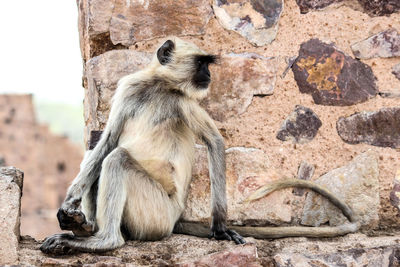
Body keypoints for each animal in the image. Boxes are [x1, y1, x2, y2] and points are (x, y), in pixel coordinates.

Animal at [40, 37, 360, 255]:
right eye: (201, 63)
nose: (209, 75)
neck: (159, 86)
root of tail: (174, 220)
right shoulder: (130, 88)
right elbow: (106, 140)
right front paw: (68, 204)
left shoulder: (182, 101)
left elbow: (214, 142)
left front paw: (219, 227)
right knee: (106, 155)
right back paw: (85, 229)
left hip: (156, 214)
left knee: (117, 159)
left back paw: (104, 240)